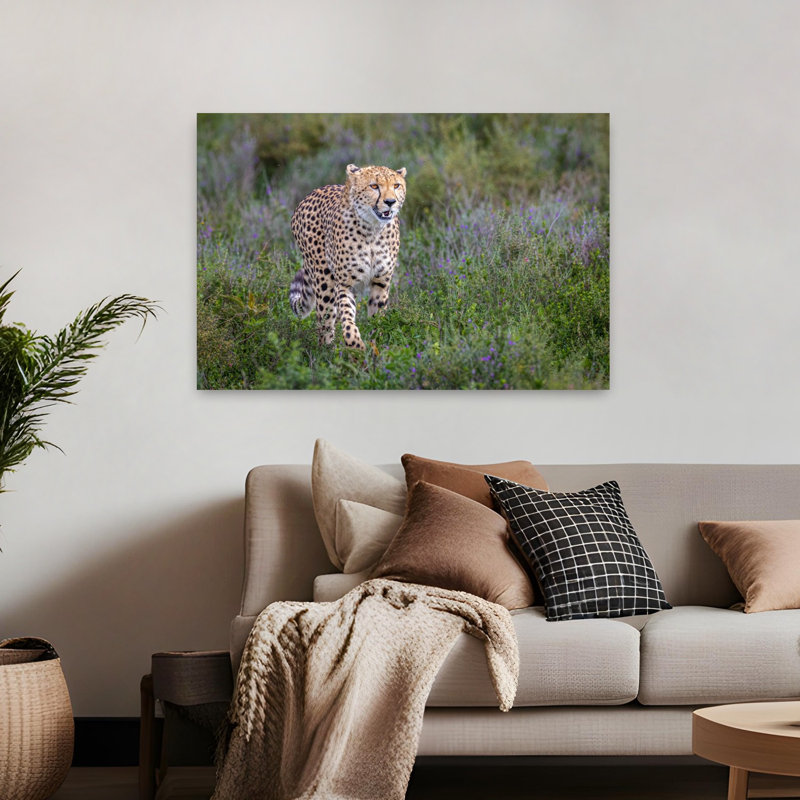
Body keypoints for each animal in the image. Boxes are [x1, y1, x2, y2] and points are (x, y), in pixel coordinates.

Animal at [289, 163, 407, 351]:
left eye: (396, 185)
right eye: (374, 186)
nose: (390, 202)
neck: (373, 230)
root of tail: (312, 193)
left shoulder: (381, 282)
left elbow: (378, 318)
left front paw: (376, 347)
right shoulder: (345, 283)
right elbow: (347, 317)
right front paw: (356, 346)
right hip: (324, 280)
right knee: (325, 320)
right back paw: (326, 352)